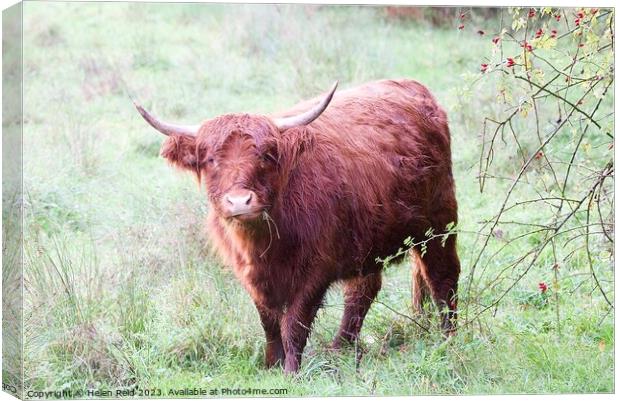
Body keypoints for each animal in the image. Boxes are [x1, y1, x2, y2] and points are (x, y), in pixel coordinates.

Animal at [138, 78, 462, 372]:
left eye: (266, 155)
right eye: (209, 159)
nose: (240, 201)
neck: (265, 242)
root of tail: (414, 87)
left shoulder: (315, 271)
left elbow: (294, 322)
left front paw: (291, 370)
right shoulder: (251, 276)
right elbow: (269, 321)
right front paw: (271, 364)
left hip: (439, 225)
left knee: (442, 278)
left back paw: (448, 340)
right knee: (364, 289)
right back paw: (340, 347)